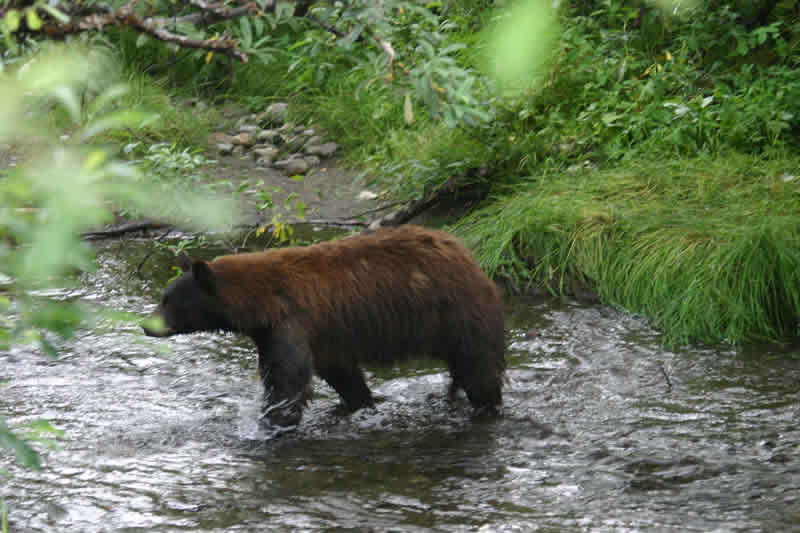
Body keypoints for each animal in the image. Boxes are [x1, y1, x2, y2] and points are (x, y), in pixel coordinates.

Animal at [142, 224, 506, 428]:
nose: (147, 326)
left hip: (458, 314)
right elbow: (342, 374)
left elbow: (287, 382)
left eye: (167, 300)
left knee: (479, 368)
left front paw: (273, 424)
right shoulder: (318, 338)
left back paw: (486, 407)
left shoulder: (292, 322)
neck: (261, 303)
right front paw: (360, 404)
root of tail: (470, 257)